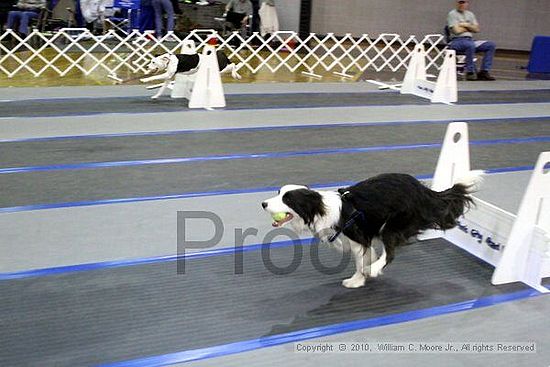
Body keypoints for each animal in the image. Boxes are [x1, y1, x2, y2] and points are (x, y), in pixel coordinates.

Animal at [264, 171, 484, 288]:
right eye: (278, 193)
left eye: (287, 199)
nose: (263, 203)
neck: (320, 209)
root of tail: (424, 191)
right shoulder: (359, 239)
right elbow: (364, 256)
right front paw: (360, 277)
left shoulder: (358, 236)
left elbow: (361, 262)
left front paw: (358, 279)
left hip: (394, 225)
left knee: (390, 253)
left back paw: (375, 269)